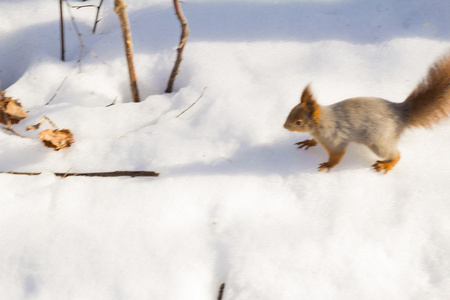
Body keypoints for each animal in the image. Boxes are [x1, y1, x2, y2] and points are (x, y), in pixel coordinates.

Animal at [284, 52, 450, 172]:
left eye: (298, 122)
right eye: (290, 111)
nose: (285, 126)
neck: (321, 124)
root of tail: (401, 113)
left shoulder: (335, 139)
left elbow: (337, 155)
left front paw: (328, 165)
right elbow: (315, 141)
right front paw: (309, 141)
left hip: (378, 142)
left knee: (396, 154)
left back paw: (387, 164)